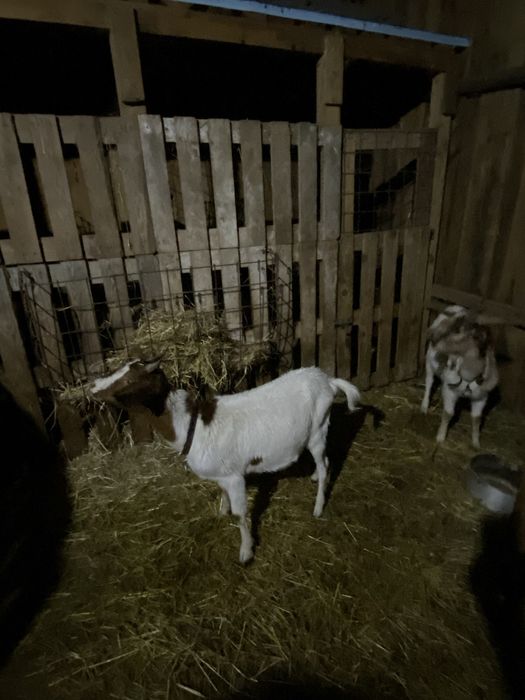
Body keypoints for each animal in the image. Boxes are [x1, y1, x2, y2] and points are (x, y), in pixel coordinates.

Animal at [91, 361, 360, 563]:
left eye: (128, 381)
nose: (92, 386)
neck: (191, 426)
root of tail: (329, 381)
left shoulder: (235, 477)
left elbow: (240, 515)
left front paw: (246, 553)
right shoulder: (221, 474)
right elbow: (222, 493)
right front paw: (222, 511)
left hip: (317, 429)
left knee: (325, 466)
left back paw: (318, 507)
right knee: (325, 460)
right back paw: (314, 478)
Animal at [421, 305, 498, 448]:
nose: (451, 362)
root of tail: (455, 307)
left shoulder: (481, 397)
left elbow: (477, 419)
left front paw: (476, 442)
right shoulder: (450, 390)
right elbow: (448, 413)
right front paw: (440, 437)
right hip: (428, 362)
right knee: (429, 382)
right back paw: (424, 407)